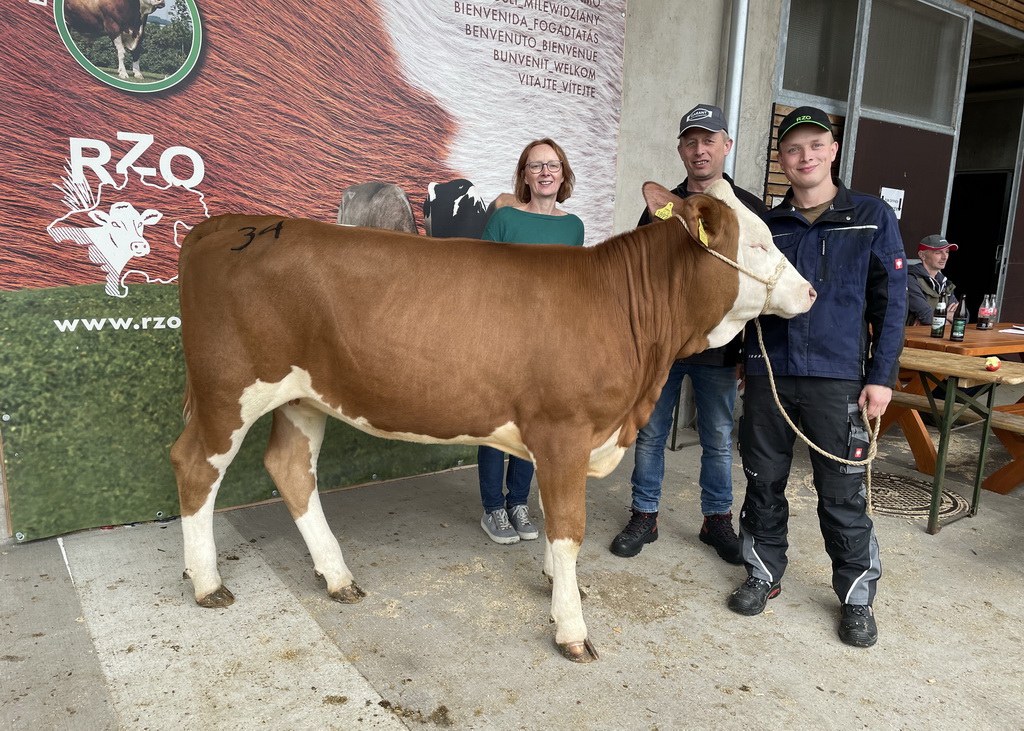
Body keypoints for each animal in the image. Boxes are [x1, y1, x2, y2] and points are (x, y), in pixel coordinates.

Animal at [174, 181, 815, 659]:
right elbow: (569, 526)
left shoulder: (570, 441)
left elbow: (555, 524)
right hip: (227, 388)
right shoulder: (563, 428)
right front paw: (571, 628)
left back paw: (336, 576)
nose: (810, 291)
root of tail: (224, 225)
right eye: (760, 244)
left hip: (302, 397)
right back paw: (208, 583)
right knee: (196, 465)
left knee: (290, 469)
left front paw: (559, 582)